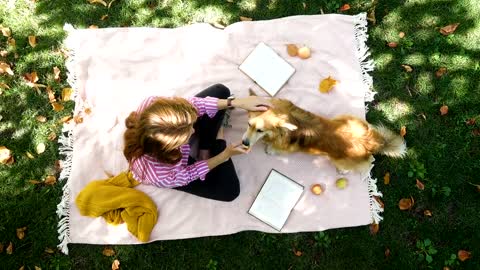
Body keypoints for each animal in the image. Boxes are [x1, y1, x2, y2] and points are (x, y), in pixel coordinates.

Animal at [242, 90, 406, 173]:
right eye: (248, 124)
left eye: (260, 130)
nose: (244, 143)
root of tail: (371, 142)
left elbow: (274, 149)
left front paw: (270, 149)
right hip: (345, 118)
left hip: (338, 159)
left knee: (368, 162)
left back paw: (344, 171)